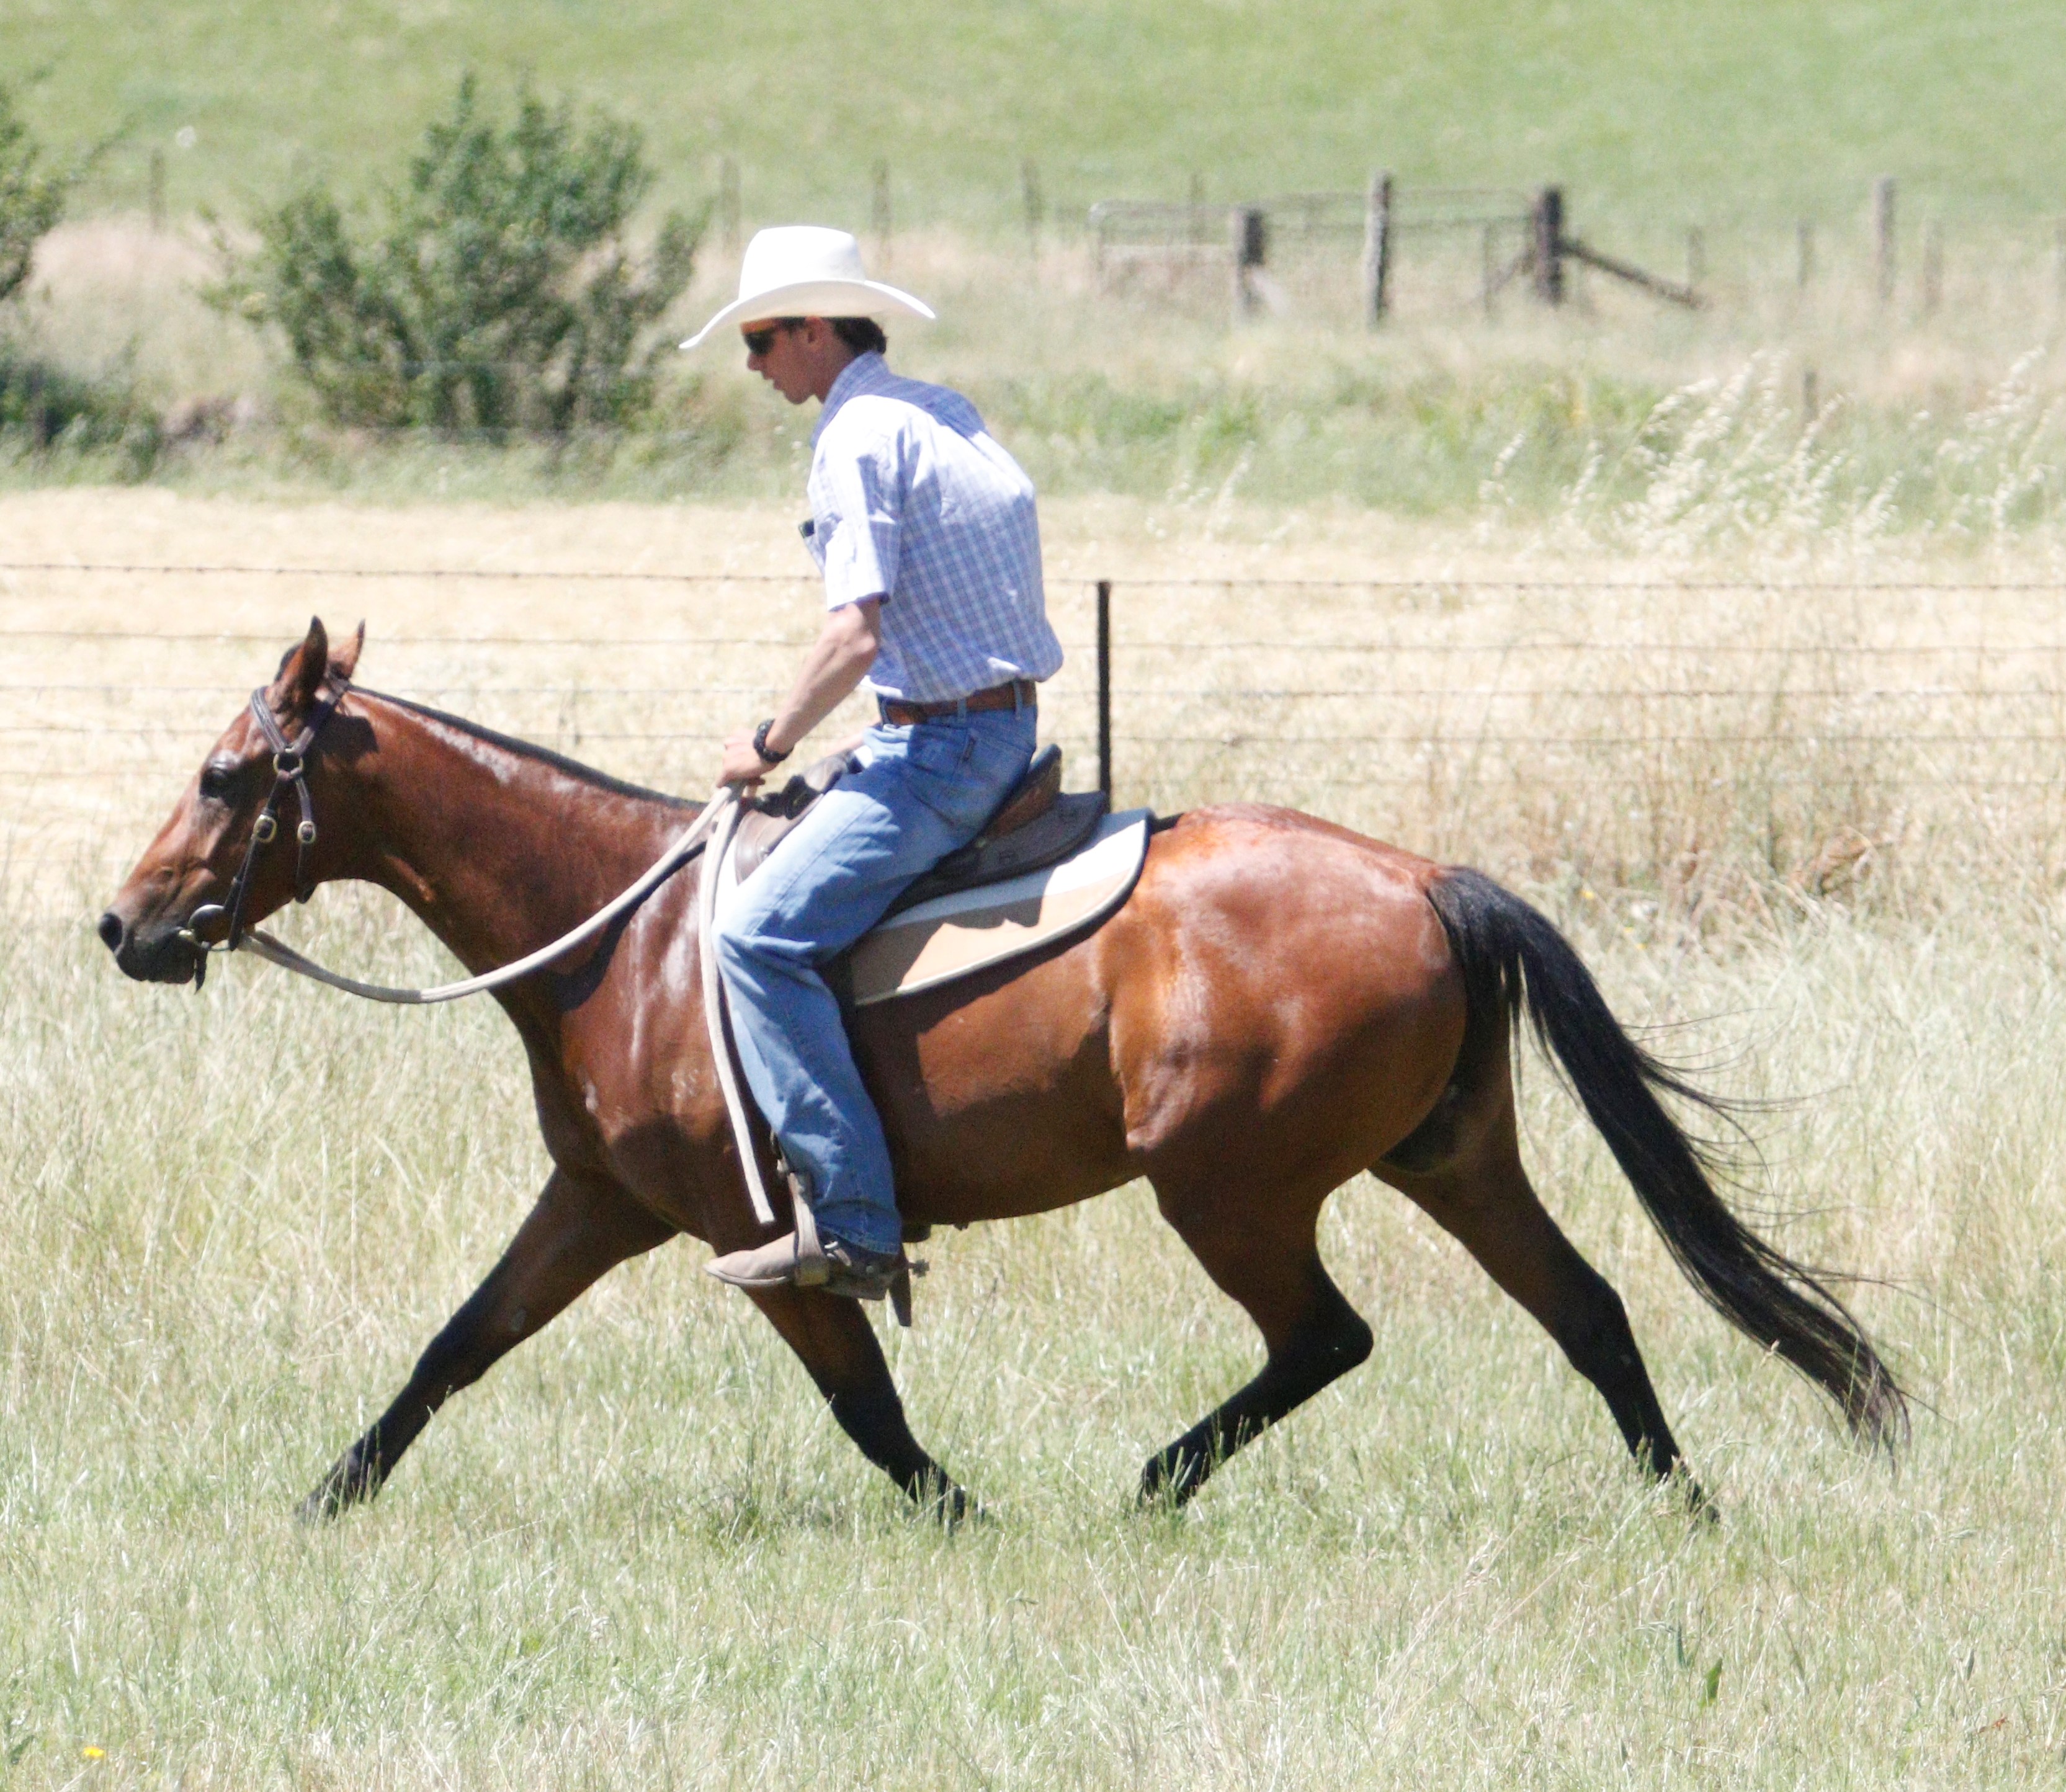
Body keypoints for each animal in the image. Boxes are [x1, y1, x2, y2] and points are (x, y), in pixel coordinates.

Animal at [99, 619, 1906, 1522]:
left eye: (228, 773)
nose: (126, 923)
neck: (628, 935)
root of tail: (1422, 880)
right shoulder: (598, 1199)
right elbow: (456, 1345)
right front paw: (325, 1501)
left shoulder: (760, 1234)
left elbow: (863, 1402)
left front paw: (965, 1517)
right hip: (1452, 1159)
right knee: (1586, 1308)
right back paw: (1684, 1511)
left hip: (1230, 1187)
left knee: (1325, 1337)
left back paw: (1150, 1486)